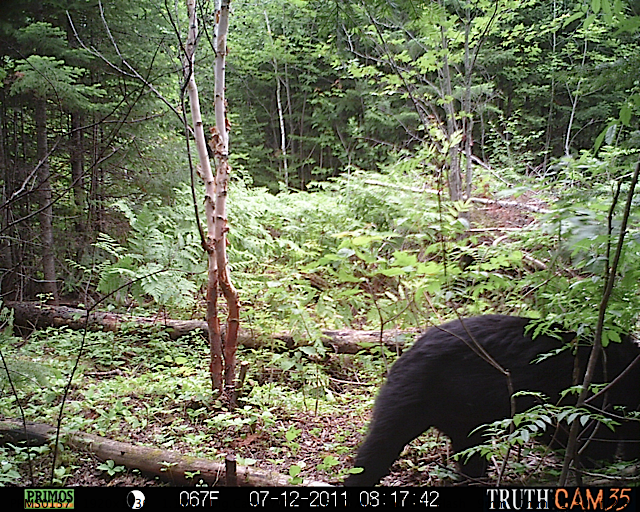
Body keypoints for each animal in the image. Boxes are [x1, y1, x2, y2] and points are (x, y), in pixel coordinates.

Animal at [344, 314, 640, 486]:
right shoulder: (589, 401)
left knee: (469, 454)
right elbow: (594, 439)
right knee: (381, 443)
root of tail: (406, 354)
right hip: (413, 395)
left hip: (463, 417)